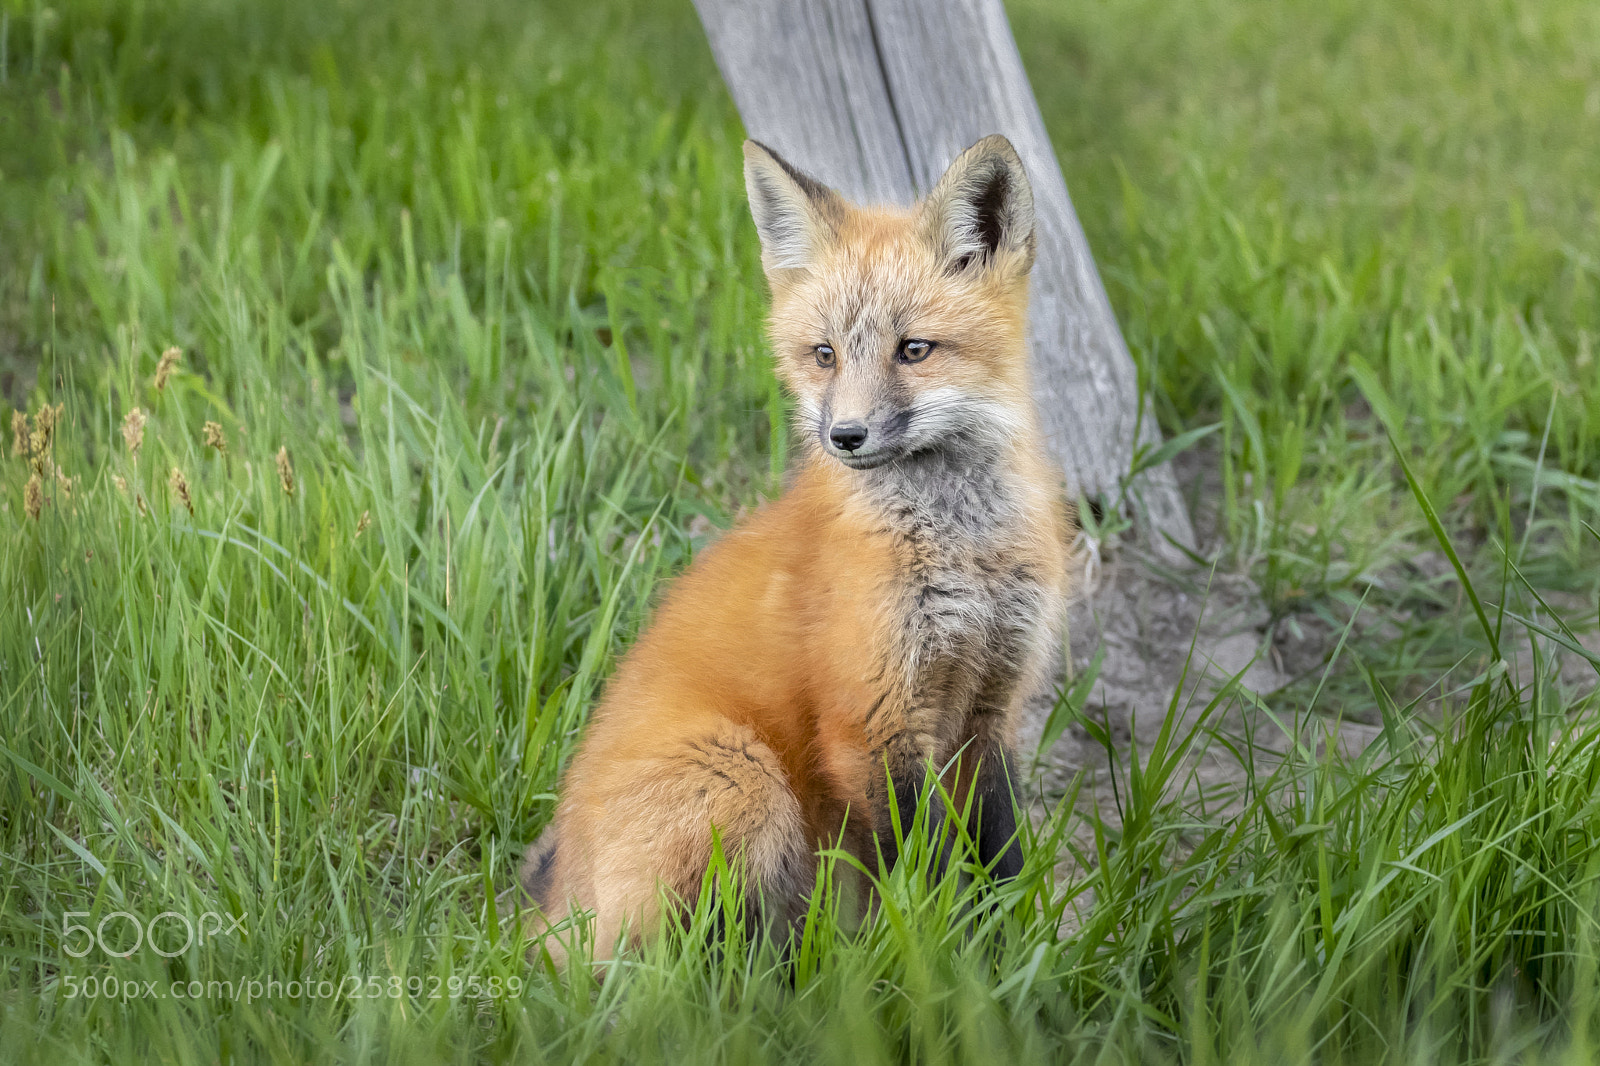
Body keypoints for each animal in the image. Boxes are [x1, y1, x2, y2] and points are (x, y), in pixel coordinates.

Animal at [519, 134, 1073, 964]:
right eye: (824, 355)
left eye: (915, 350)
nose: (845, 436)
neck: (960, 553)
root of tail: (557, 907)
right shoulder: (871, 723)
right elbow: (926, 870)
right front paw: (945, 964)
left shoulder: (992, 708)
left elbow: (999, 862)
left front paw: (1014, 959)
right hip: (741, 776)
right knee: (640, 967)